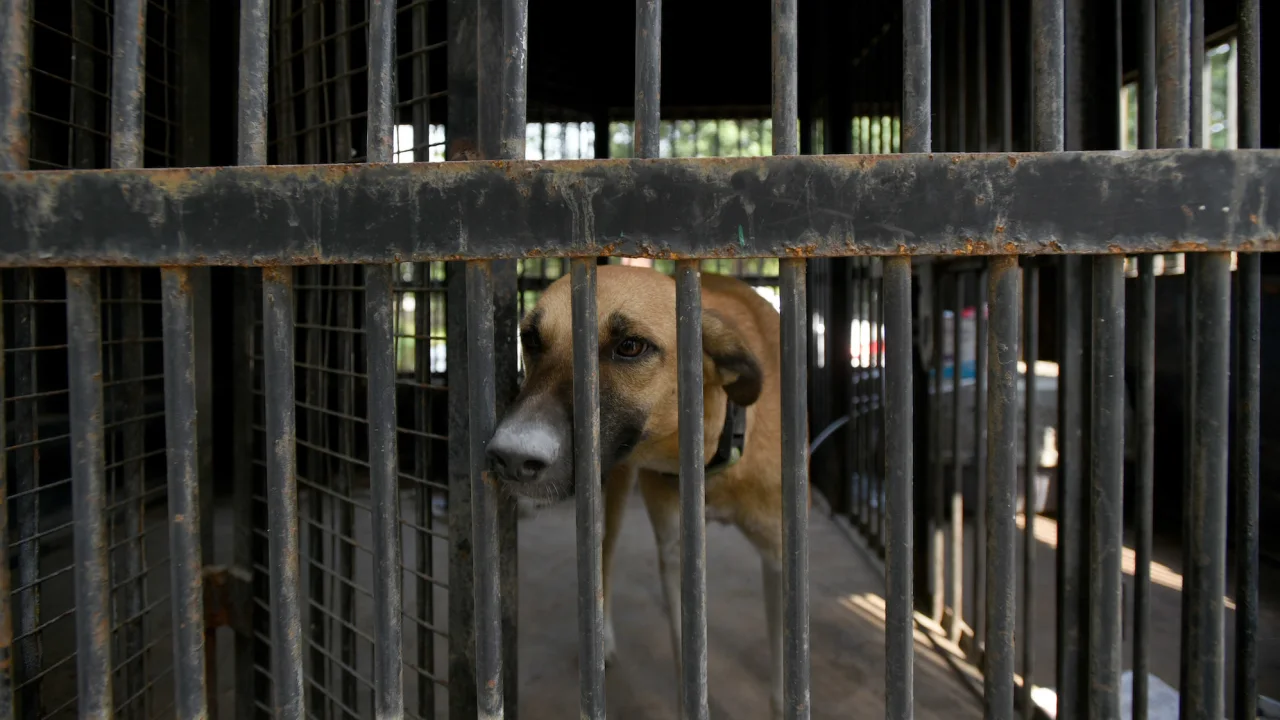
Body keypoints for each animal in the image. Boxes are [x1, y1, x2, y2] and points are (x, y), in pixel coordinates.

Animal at [483, 262, 803, 712]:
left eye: (631, 347)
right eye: (531, 339)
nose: (510, 458)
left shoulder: (779, 557)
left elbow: (783, 674)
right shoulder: (678, 554)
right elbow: (688, 661)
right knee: (603, 556)